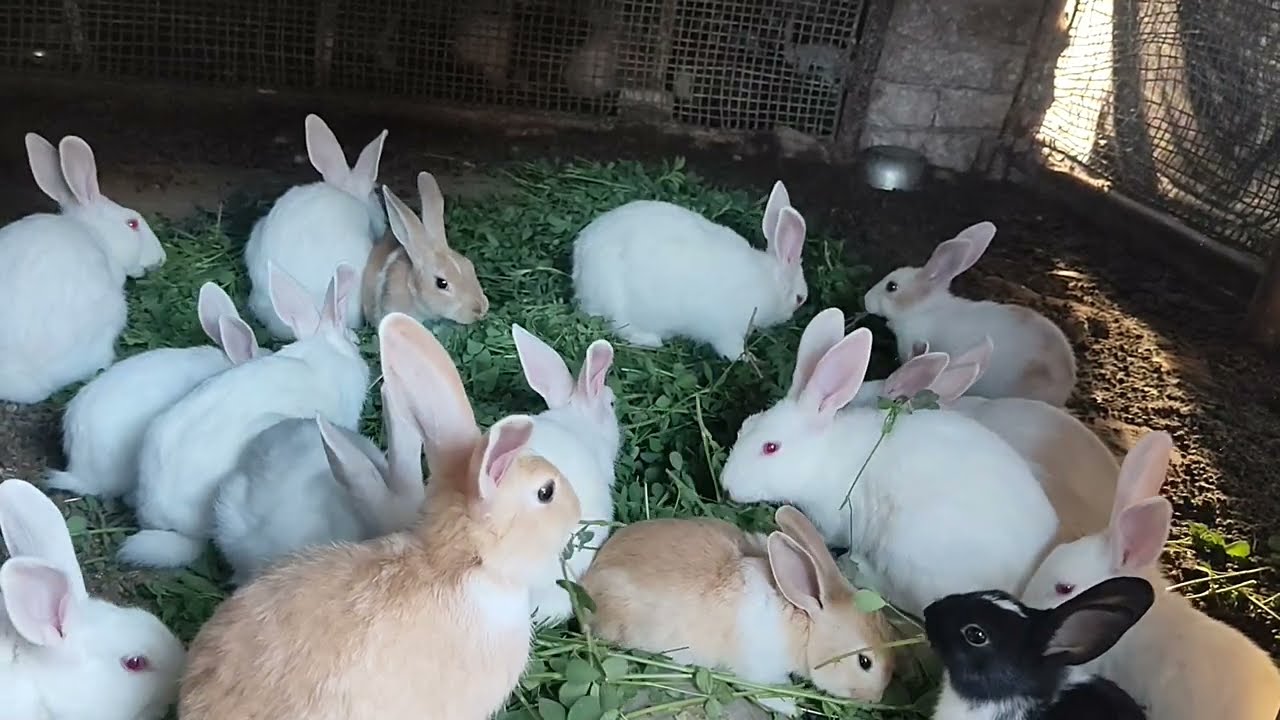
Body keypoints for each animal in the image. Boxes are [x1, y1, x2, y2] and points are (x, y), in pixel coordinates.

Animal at [572, 181, 809, 361]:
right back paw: (652, 340)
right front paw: (750, 359)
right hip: (617, 303)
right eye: (799, 298)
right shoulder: (726, 332)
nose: (791, 315)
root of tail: (580, 264)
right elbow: (732, 351)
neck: (769, 283)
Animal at [582, 505, 895, 717]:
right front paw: (791, 707)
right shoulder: (758, 671)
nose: (876, 698)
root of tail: (589, 578)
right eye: (864, 662)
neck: (805, 627)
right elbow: (766, 690)